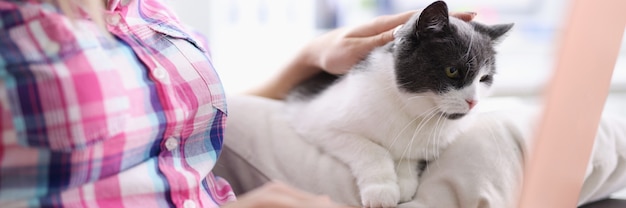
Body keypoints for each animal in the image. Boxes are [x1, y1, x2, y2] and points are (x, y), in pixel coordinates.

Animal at [288, 1, 512, 206]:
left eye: (484, 78)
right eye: (452, 71)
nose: (473, 102)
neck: (413, 112)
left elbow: (411, 156)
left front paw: (404, 182)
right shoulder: (317, 121)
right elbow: (372, 149)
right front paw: (381, 191)